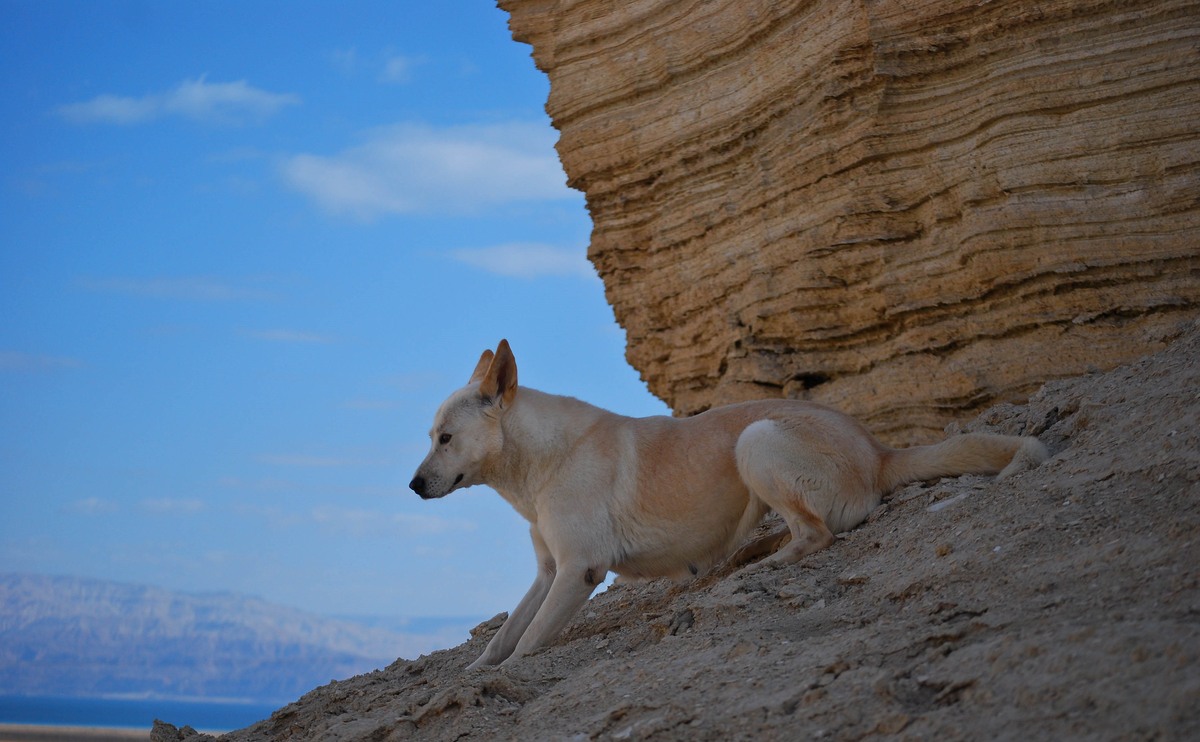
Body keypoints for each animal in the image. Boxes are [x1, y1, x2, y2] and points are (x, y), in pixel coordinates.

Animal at [408, 338, 1046, 667]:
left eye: (445, 438)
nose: (413, 487)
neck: (539, 462)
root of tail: (880, 451)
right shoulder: (547, 572)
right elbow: (503, 636)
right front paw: (476, 674)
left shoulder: (578, 571)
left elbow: (528, 643)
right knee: (798, 528)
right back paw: (747, 554)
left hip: (756, 440)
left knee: (816, 535)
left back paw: (756, 567)